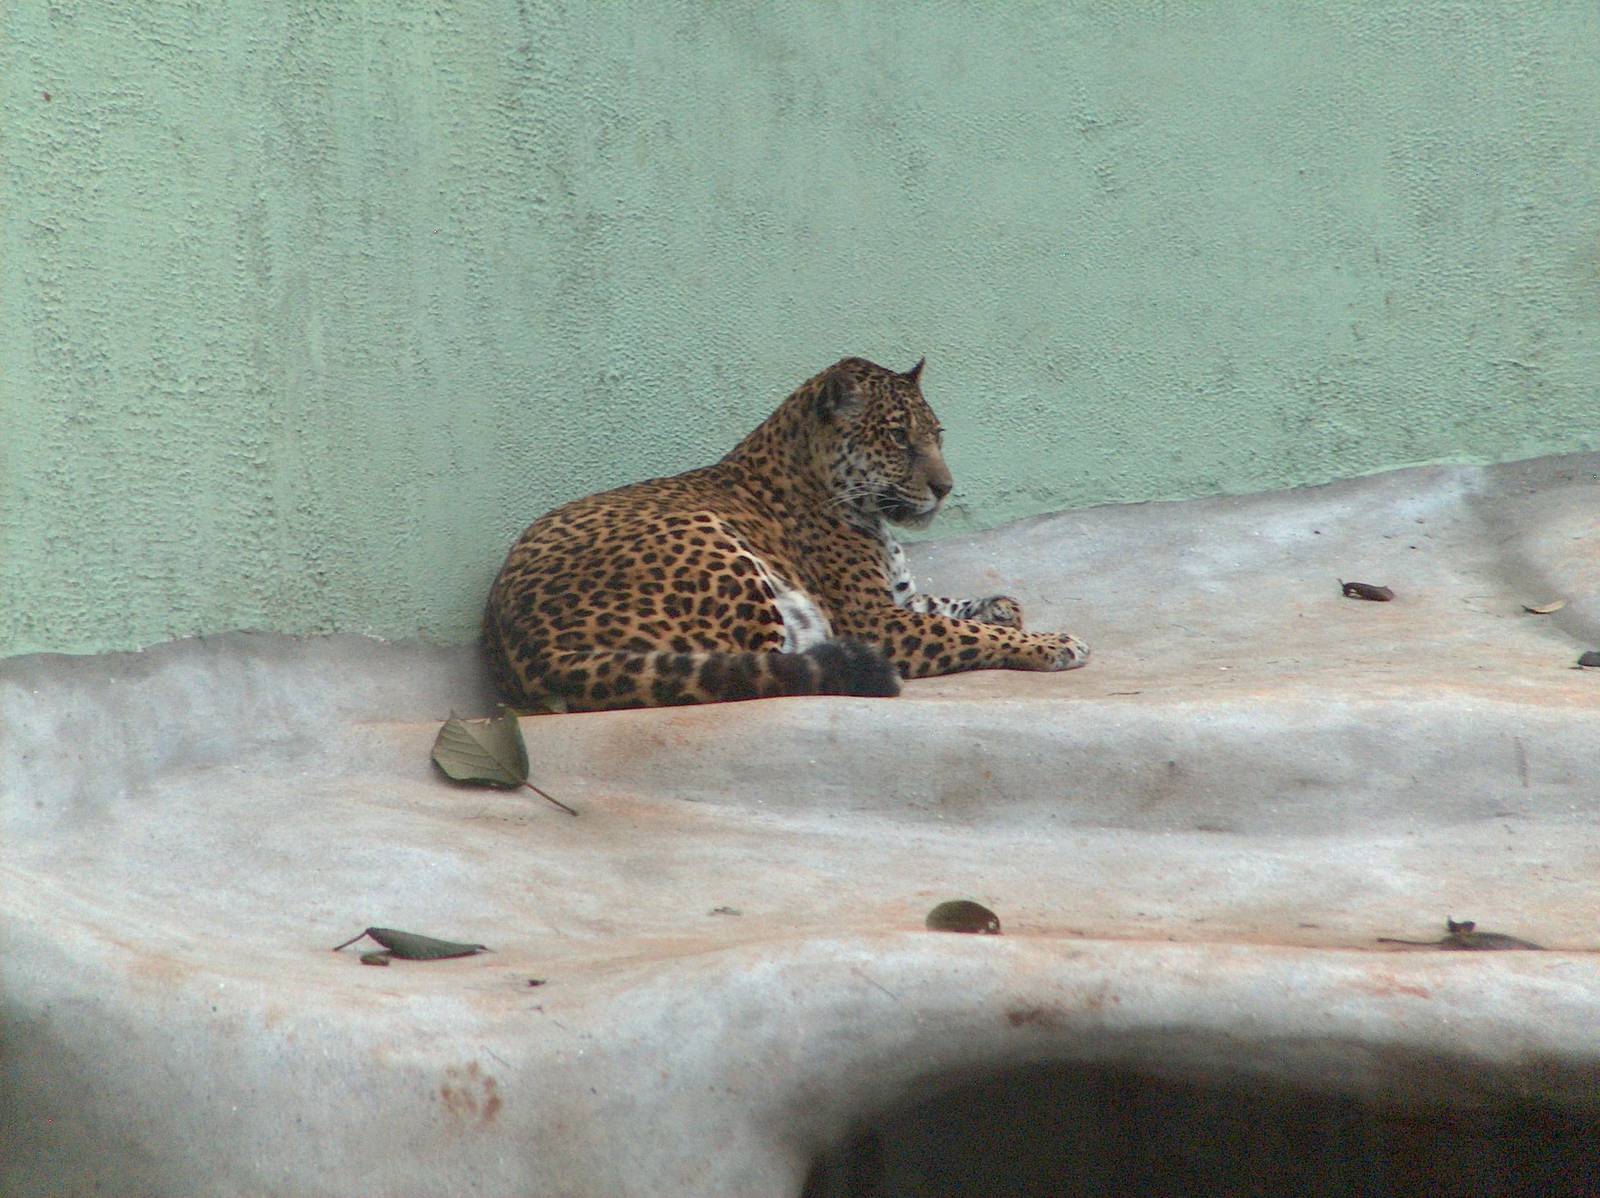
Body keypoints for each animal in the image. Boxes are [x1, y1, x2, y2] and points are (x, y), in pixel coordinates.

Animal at [483, 356, 1090, 712]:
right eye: (899, 438)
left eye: (937, 435)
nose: (945, 488)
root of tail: (519, 642)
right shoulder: (875, 621)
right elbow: (966, 634)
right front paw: (1053, 643)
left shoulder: (896, 600)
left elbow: (949, 605)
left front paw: (1002, 606)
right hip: (715, 545)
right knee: (768, 669)